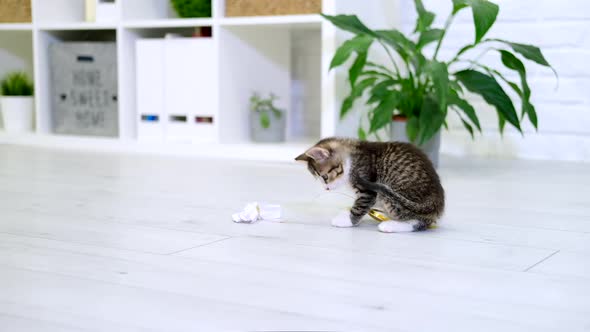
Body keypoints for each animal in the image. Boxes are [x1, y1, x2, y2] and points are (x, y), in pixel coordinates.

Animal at [298, 136, 446, 232]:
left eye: (325, 177)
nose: (327, 188)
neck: (351, 158)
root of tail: (437, 202)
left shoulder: (366, 188)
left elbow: (360, 206)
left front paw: (347, 220)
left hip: (391, 196)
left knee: (421, 221)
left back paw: (391, 225)